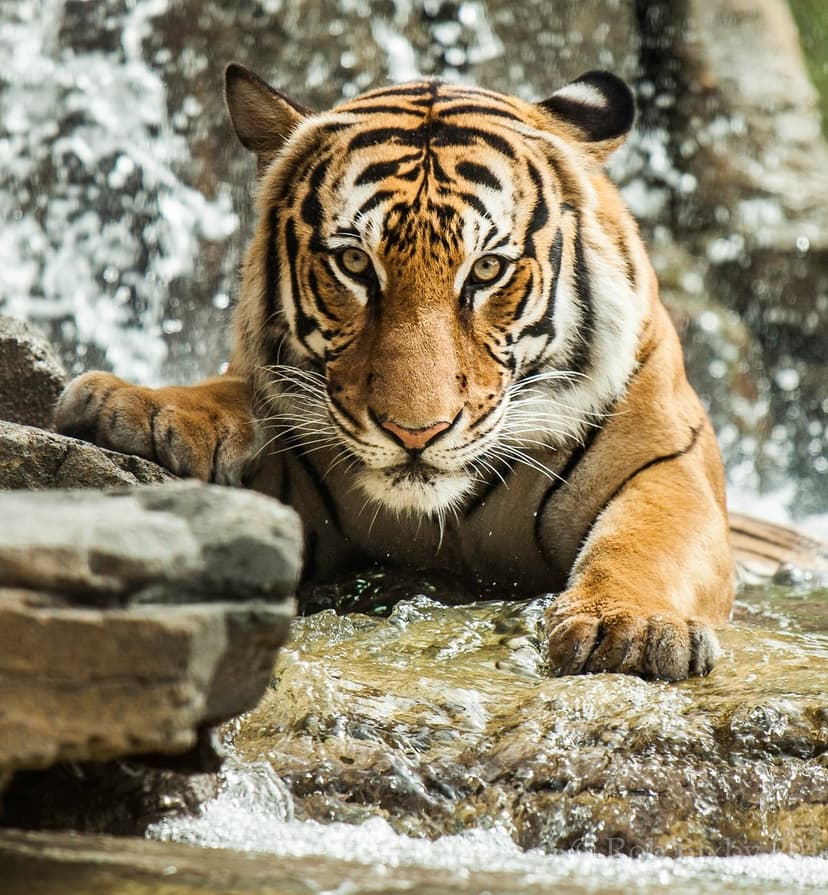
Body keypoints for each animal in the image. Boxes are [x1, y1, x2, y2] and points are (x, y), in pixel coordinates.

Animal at [55, 62, 735, 681]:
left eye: (487, 270)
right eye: (355, 263)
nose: (416, 433)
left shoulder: (666, 463)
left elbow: (649, 539)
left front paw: (629, 628)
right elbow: (232, 394)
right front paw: (140, 406)